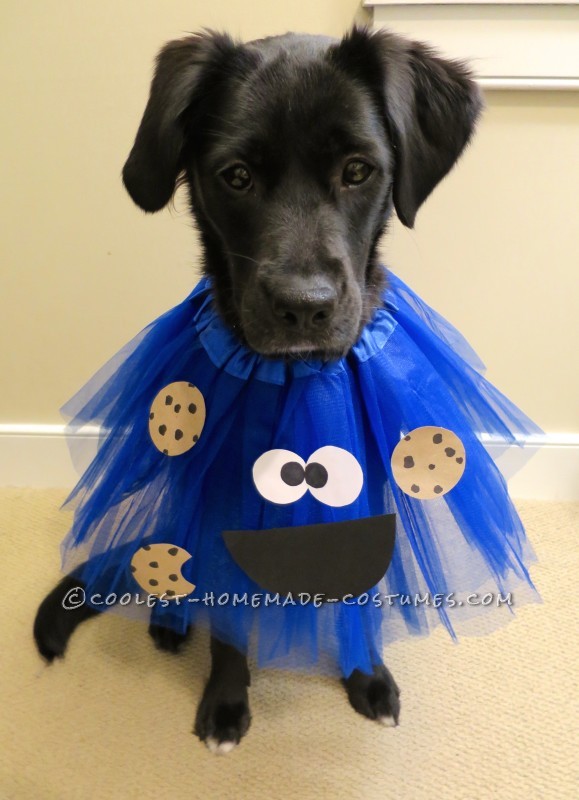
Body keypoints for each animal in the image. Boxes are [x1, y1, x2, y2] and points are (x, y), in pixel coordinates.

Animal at [34, 23, 482, 752]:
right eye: (236, 177)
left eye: (358, 170)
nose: (304, 307)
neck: (296, 380)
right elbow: (229, 632)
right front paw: (224, 702)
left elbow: (359, 600)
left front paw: (368, 677)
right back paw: (168, 620)